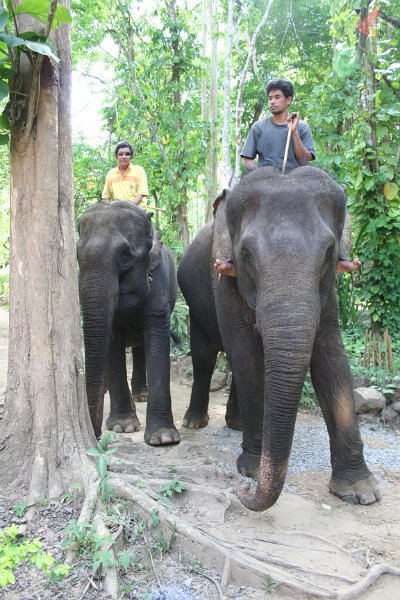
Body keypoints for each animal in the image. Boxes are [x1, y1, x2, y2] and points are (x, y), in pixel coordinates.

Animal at [77, 200, 180, 446]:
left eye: (125, 257)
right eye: (77, 258)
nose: (97, 437)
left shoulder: (159, 281)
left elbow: (157, 340)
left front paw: (164, 438)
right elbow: (112, 344)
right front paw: (123, 427)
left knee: (141, 346)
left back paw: (142, 395)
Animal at [178, 166, 380, 512]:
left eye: (329, 253)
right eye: (245, 254)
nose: (242, 490)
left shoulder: (328, 294)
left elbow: (332, 358)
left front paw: (361, 491)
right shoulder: (224, 283)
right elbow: (245, 355)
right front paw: (253, 469)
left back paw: (236, 423)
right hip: (193, 302)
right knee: (205, 357)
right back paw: (194, 423)